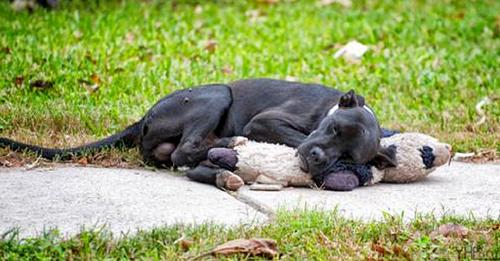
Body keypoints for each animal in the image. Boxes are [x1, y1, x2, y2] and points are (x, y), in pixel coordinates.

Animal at [1, 78, 396, 187]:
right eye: (332, 128)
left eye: (349, 153)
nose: (317, 158)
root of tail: (143, 118)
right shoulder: (265, 123)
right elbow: (296, 138)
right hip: (217, 94)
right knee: (183, 151)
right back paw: (230, 145)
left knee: (185, 157)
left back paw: (223, 166)